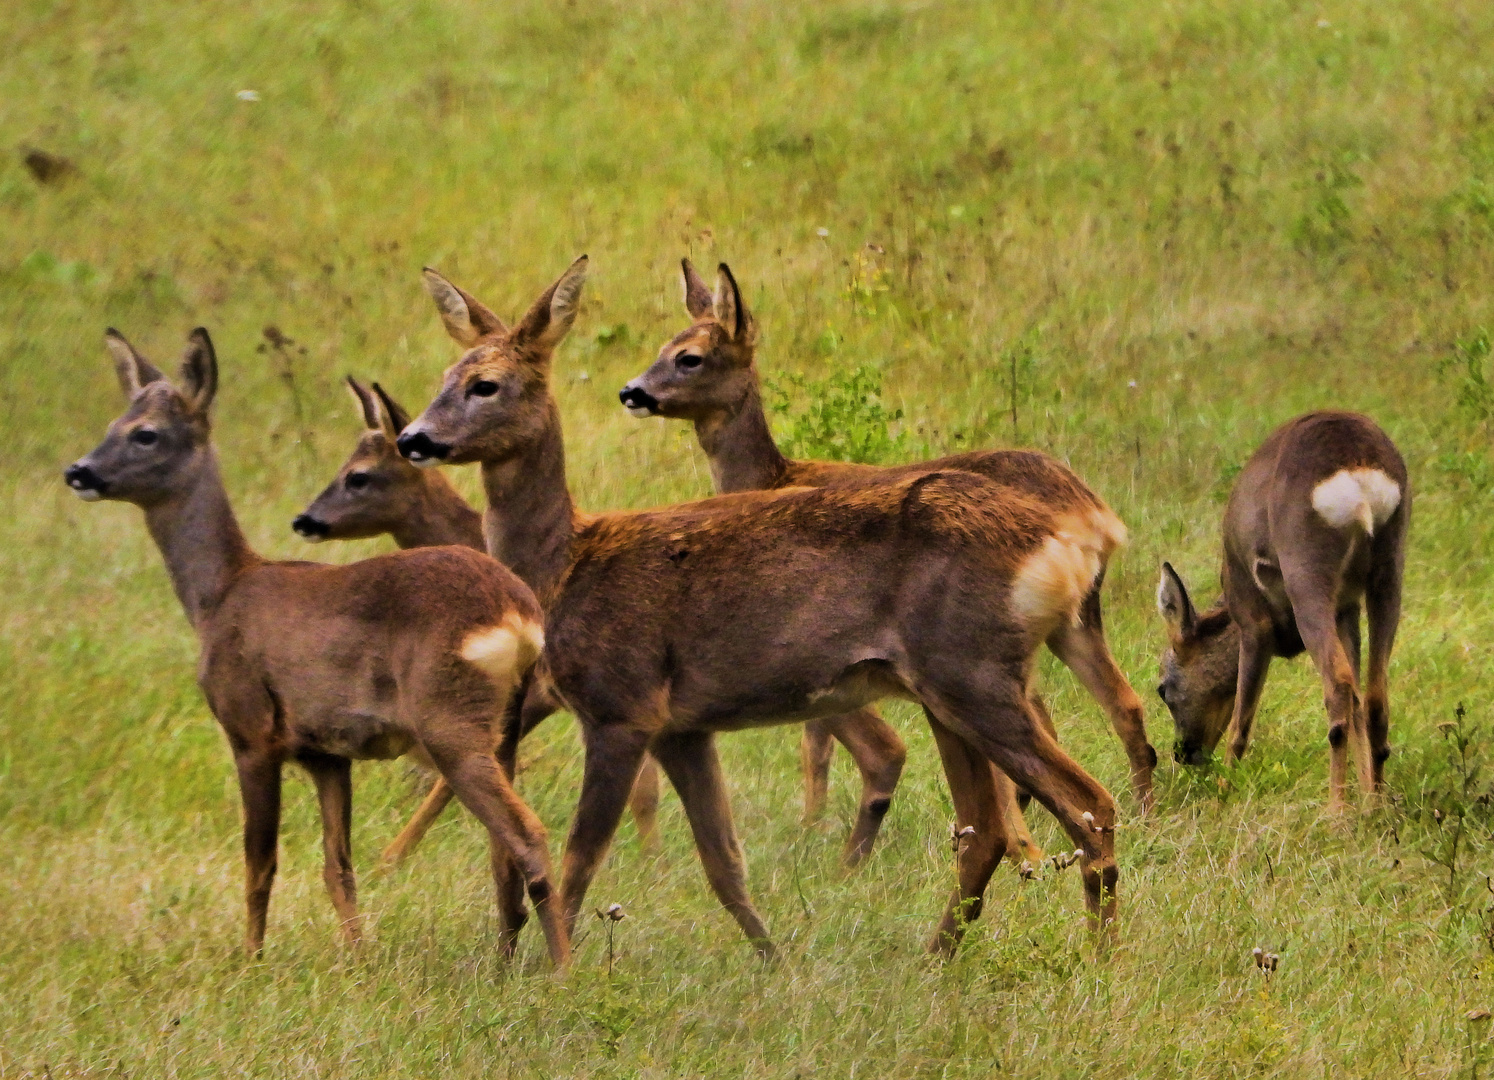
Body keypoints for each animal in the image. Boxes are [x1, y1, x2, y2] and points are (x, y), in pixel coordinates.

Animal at [64, 327, 567, 961]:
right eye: (113, 422)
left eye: (145, 432)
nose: (78, 471)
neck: (220, 594)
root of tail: (520, 616)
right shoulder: (325, 752)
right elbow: (337, 866)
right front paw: (358, 959)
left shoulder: (251, 729)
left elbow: (260, 863)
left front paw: (250, 962)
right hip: (503, 727)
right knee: (502, 854)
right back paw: (504, 965)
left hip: (450, 721)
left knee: (527, 835)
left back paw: (562, 970)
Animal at [618, 259, 1153, 812]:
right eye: (664, 345)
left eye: (690, 358)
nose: (631, 392)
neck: (771, 476)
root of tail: (1096, 516)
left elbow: (816, 743)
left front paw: (815, 820)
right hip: (1074, 620)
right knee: (1124, 704)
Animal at [1153, 415, 1410, 812]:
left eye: (1162, 689)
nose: (1183, 753)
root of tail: (1359, 473)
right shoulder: (1346, 609)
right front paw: (1368, 799)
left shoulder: (1252, 618)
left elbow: (1241, 722)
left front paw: (1222, 799)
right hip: (1389, 566)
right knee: (1372, 695)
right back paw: (1374, 807)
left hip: (1306, 571)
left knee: (1338, 687)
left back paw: (1335, 812)